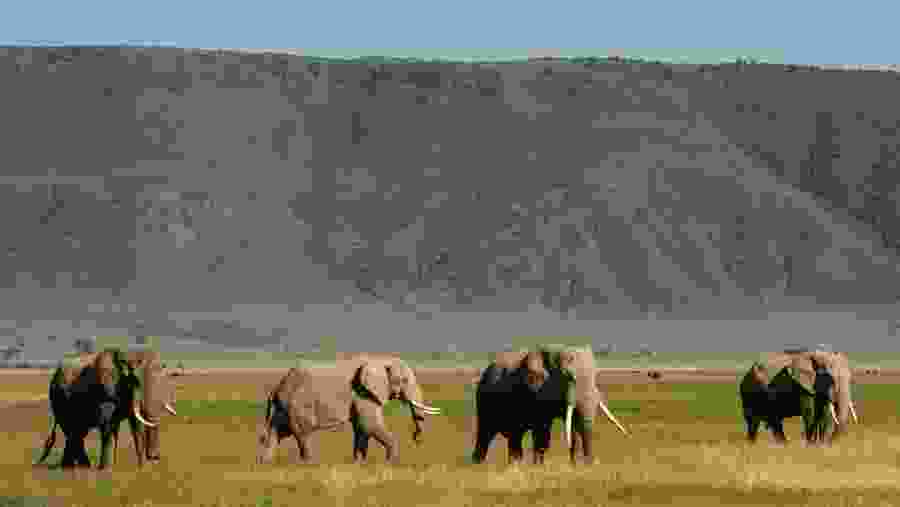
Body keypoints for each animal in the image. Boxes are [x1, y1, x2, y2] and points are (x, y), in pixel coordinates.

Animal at [36, 348, 178, 469]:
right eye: (136, 381)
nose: (154, 457)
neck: (128, 355)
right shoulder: (106, 389)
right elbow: (107, 424)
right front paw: (105, 468)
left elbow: (134, 424)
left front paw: (139, 467)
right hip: (57, 397)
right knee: (72, 429)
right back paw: (76, 467)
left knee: (77, 431)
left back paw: (77, 467)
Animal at [257, 356, 442, 464]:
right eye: (404, 380)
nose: (417, 438)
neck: (380, 360)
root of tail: (276, 388)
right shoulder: (363, 393)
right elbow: (370, 425)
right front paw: (391, 464)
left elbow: (361, 428)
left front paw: (359, 463)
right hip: (297, 406)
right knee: (303, 433)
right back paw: (311, 464)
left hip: (284, 408)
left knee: (278, 431)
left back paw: (266, 463)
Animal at [471, 344, 629, 466]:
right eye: (569, 377)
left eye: (595, 375)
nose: (591, 463)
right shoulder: (534, 389)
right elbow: (542, 429)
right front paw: (539, 467)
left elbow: (573, 424)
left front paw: (575, 466)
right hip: (484, 399)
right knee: (486, 433)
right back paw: (479, 465)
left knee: (515, 435)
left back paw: (514, 465)